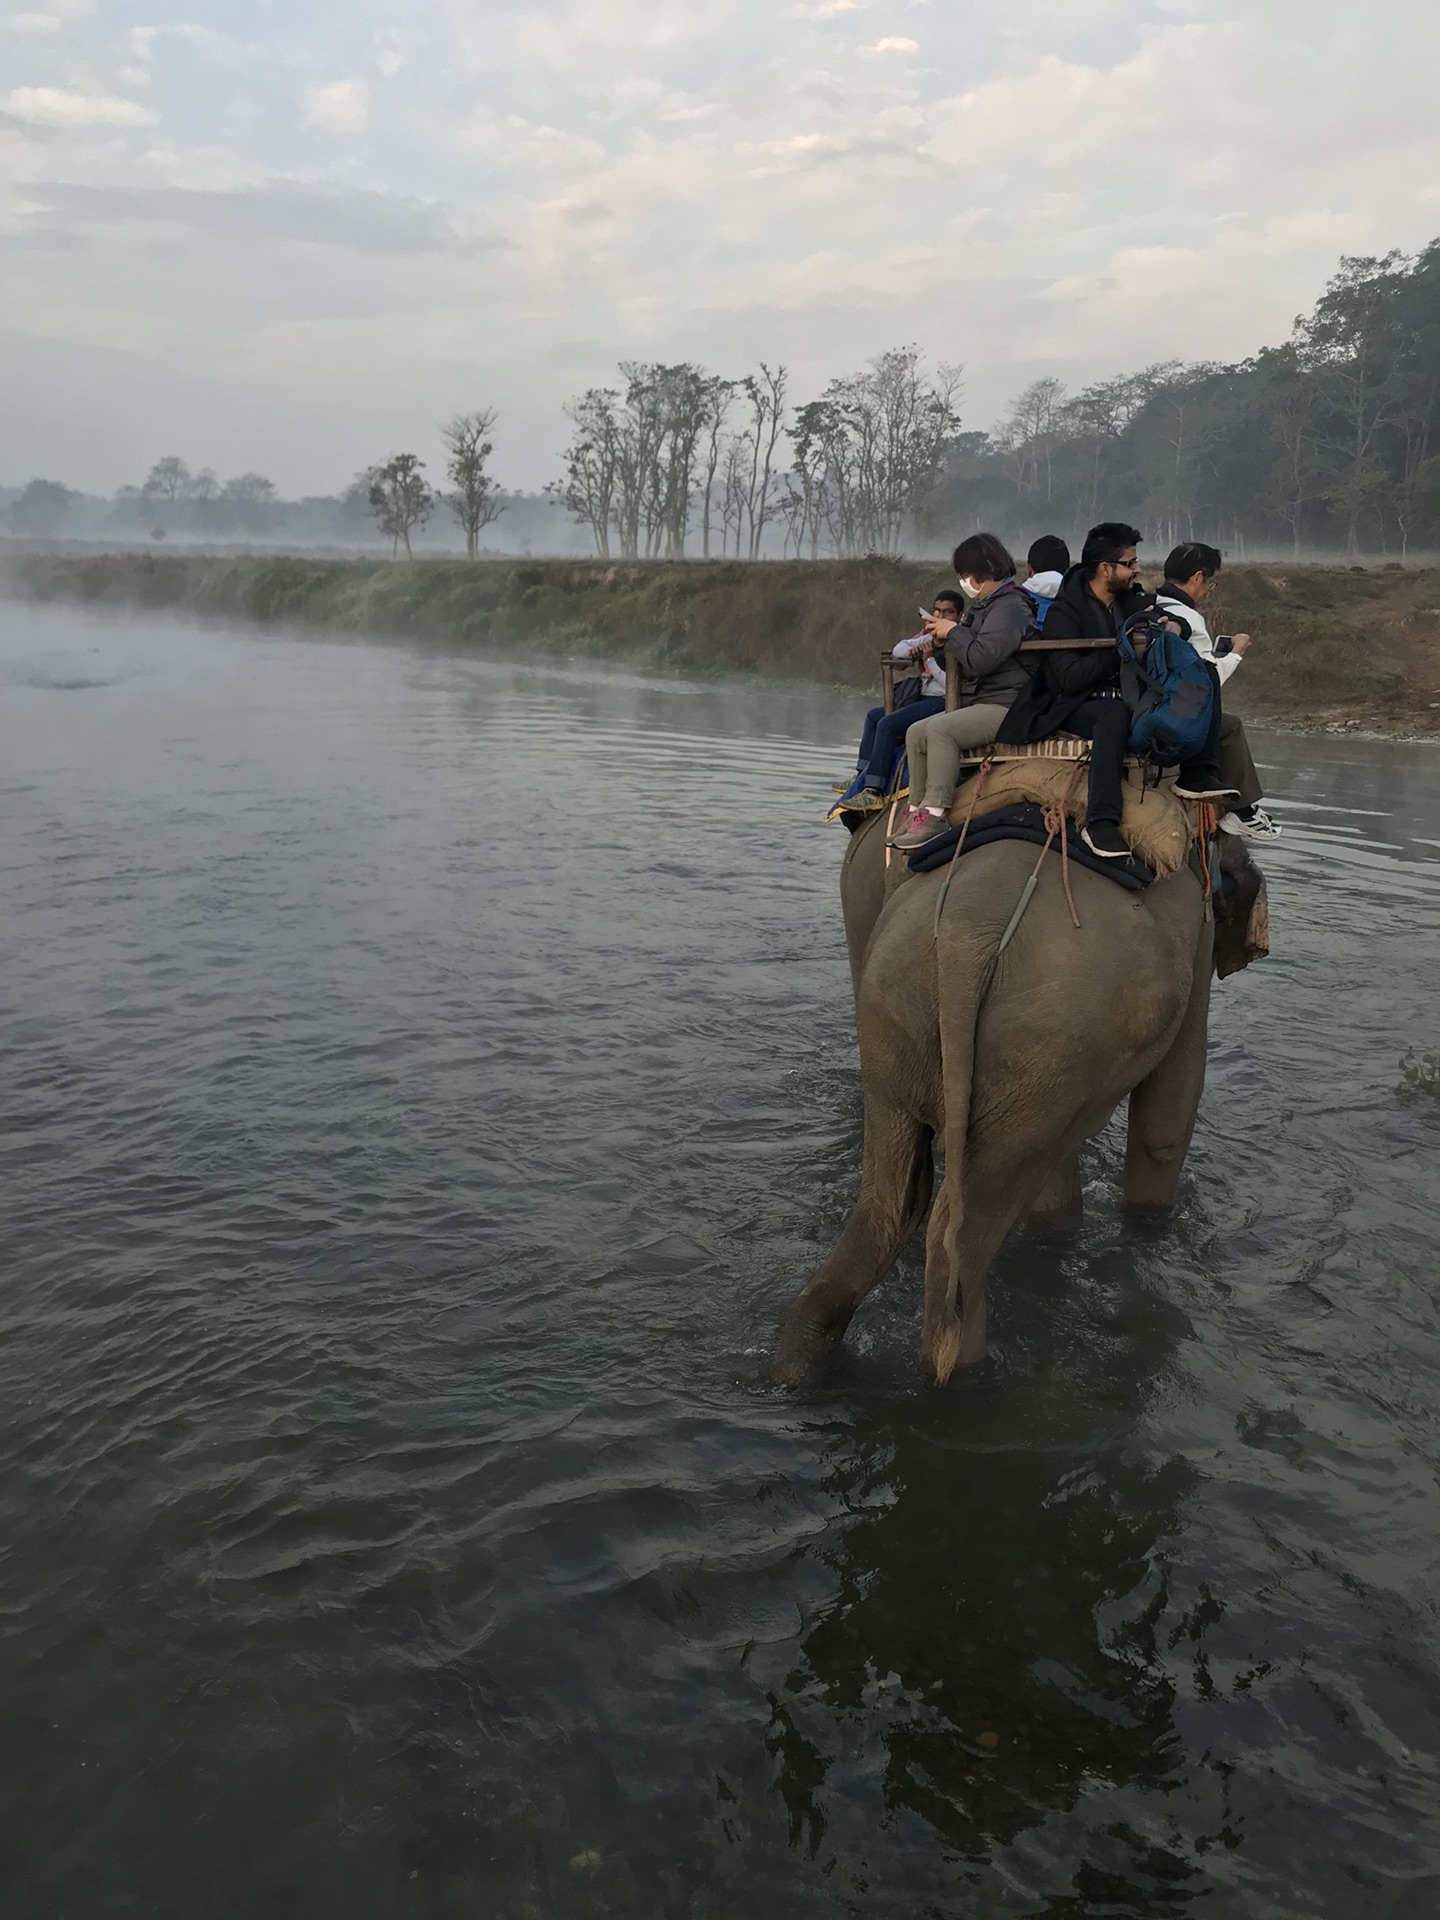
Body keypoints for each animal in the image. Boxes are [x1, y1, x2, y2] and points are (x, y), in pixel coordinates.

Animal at [779, 802, 1259, 1390]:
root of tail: (967, 937)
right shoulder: (1199, 938)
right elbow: (1169, 1114)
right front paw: (1149, 1231)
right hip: (1048, 1034)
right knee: (963, 1232)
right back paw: (963, 1378)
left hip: (913, 1012)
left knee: (891, 1201)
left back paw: (796, 1366)